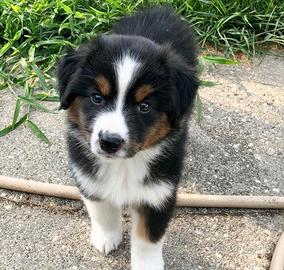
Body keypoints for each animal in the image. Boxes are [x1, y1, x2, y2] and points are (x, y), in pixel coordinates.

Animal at [55, 6, 197, 270]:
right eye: (97, 98)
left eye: (144, 106)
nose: (109, 142)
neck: (123, 165)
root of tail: (160, 10)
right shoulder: (89, 179)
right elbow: (102, 212)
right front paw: (106, 238)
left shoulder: (160, 192)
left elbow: (148, 237)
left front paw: (148, 265)